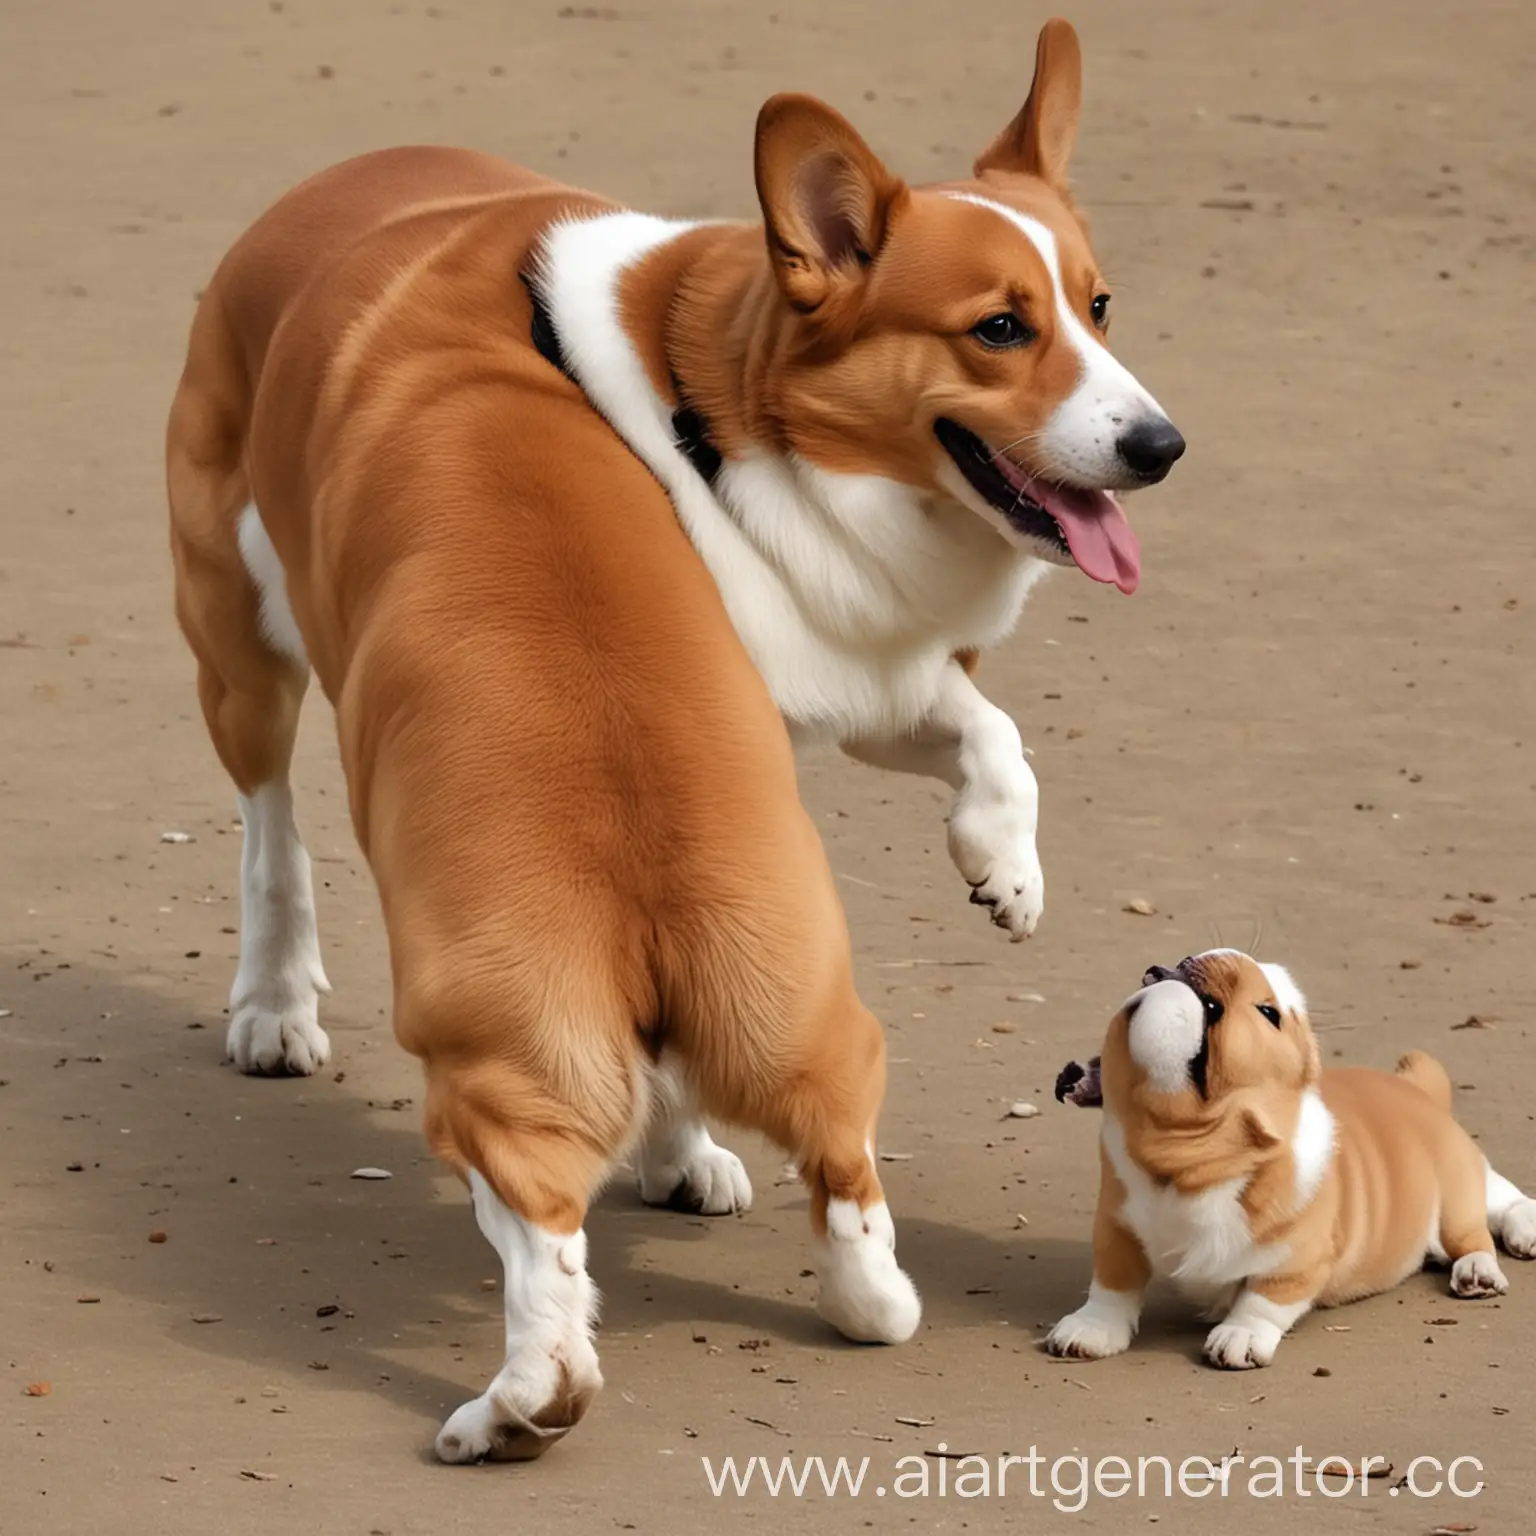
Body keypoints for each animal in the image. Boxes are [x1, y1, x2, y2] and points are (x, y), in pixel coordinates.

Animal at [168, 24, 1179, 1462]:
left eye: (1100, 309)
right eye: (999, 329)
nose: (1161, 445)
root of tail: (325, 184)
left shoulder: (825, 680)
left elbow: (987, 731)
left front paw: (1006, 867)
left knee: (570, 1250)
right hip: (236, 640)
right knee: (270, 830)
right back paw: (276, 1007)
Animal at [1044, 946, 1536, 1370]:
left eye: (1269, 1014)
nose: (1218, 953)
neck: (1184, 1165)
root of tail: (1420, 1090)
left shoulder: (1297, 1257)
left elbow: (1262, 1300)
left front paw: (1239, 1337)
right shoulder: (1117, 1227)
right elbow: (1113, 1285)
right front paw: (1091, 1330)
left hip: (1455, 1194)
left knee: (1478, 1228)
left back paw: (1483, 1265)